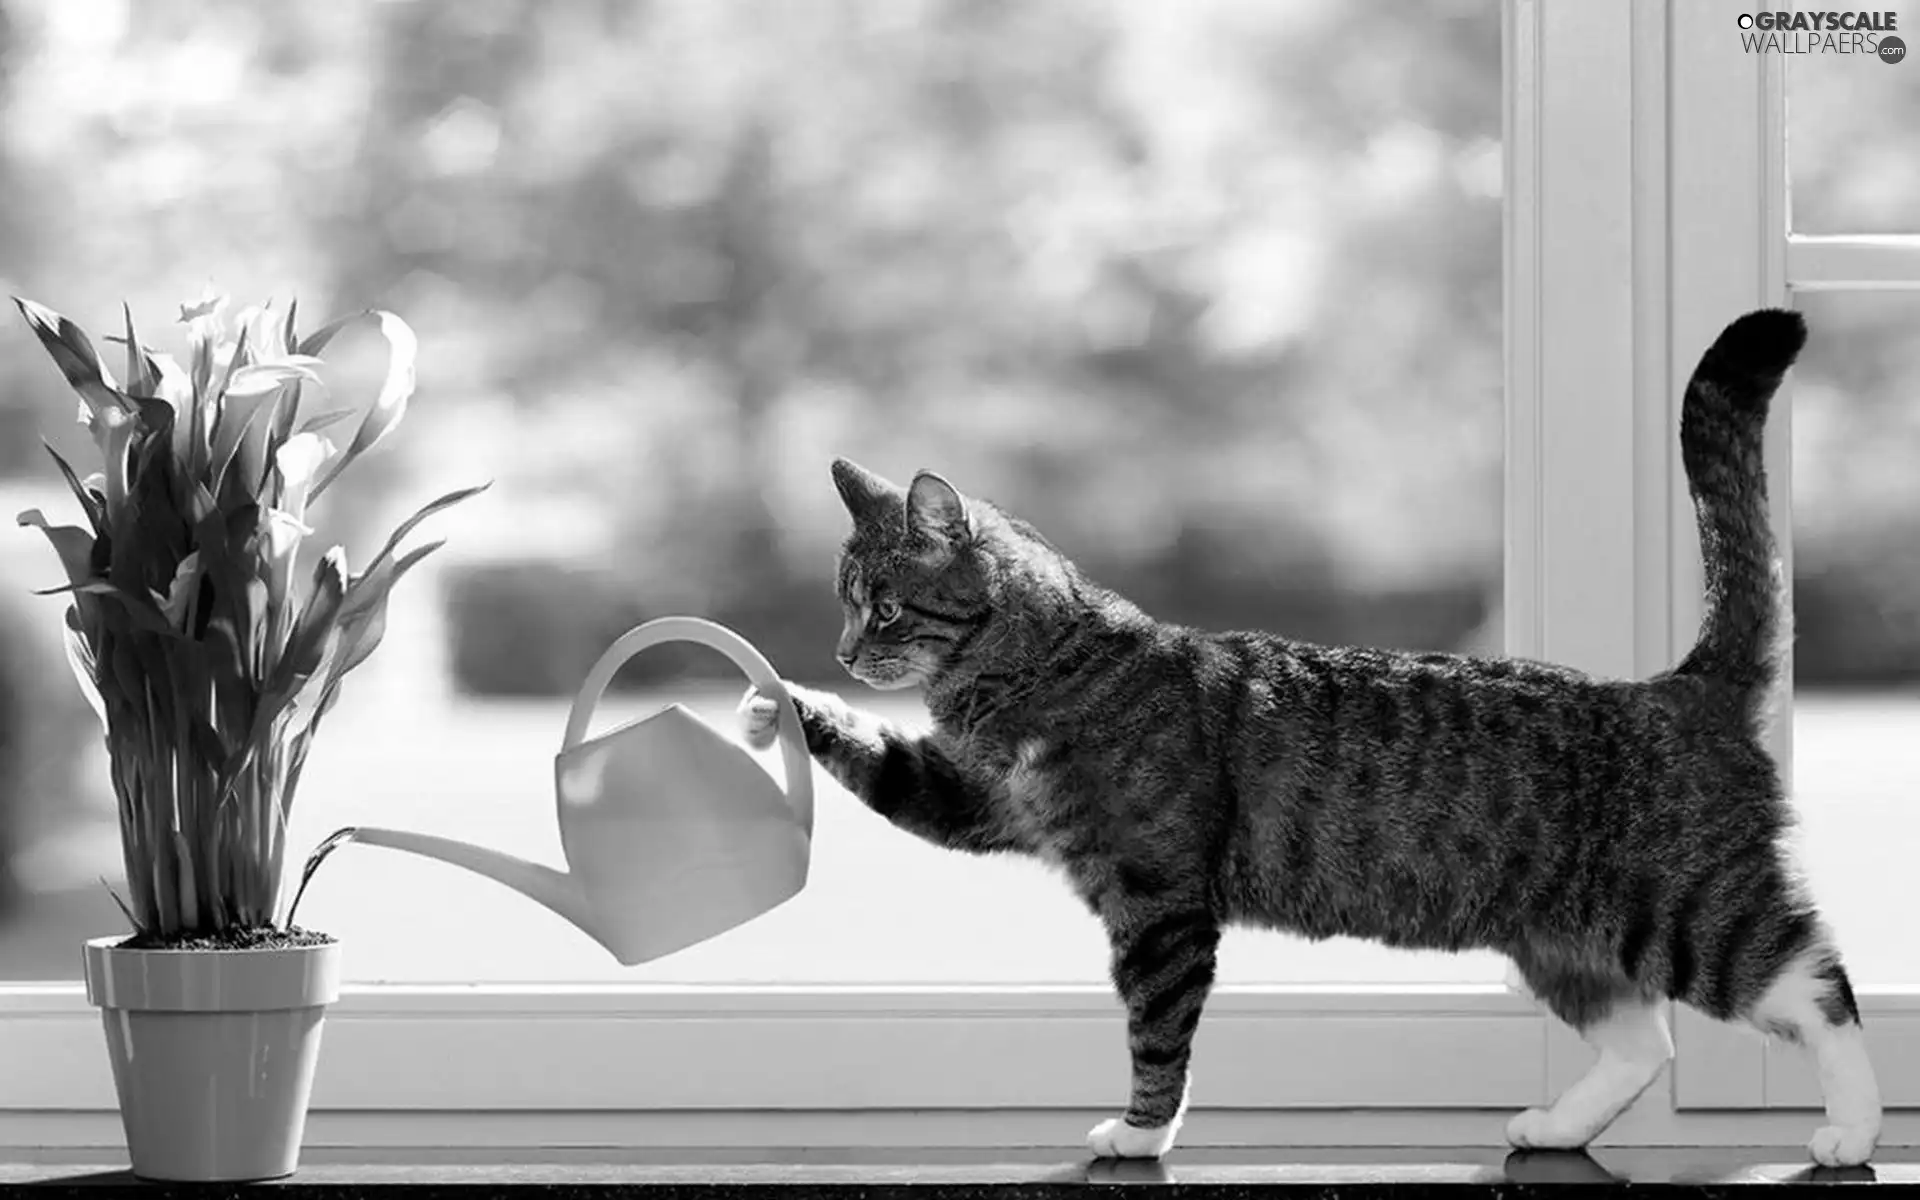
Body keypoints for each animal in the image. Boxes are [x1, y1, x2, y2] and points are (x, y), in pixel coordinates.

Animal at [741, 307, 1881, 1159]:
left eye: (886, 609)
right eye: (845, 605)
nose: (841, 651)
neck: (1047, 663)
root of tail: (1677, 689)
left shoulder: (1158, 903)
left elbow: (1157, 1031)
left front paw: (1141, 1135)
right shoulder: (975, 799)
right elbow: (889, 768)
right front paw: (776, 702)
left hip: (1694, 913)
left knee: (1821, 986)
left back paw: (1854, 1130)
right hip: (1559, 939)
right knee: (1646, 1045)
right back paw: (1556, 1127)